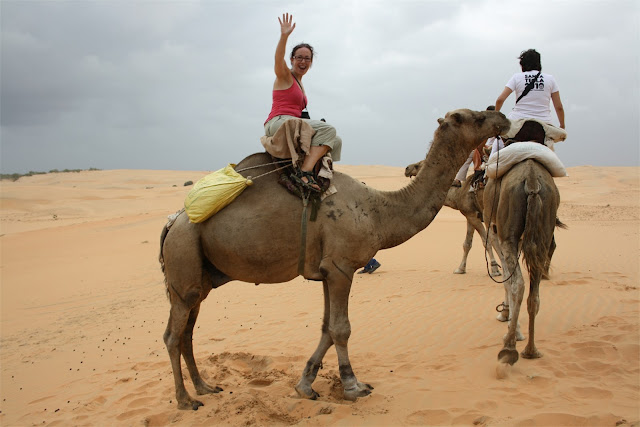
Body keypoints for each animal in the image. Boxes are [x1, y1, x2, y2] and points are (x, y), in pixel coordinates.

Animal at [159, 108, 510, 410]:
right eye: (473, 117)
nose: (503, 117)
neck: (379, 211)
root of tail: (173, 221)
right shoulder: (342, 267)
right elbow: (342, 328)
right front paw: (353, 386)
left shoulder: (326, 271)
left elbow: (326, 327)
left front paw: (305, 385)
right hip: (184, 256)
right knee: (173, 335)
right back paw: (185, 400)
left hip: (200, 276)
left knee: (188, 330)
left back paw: (205, 387)